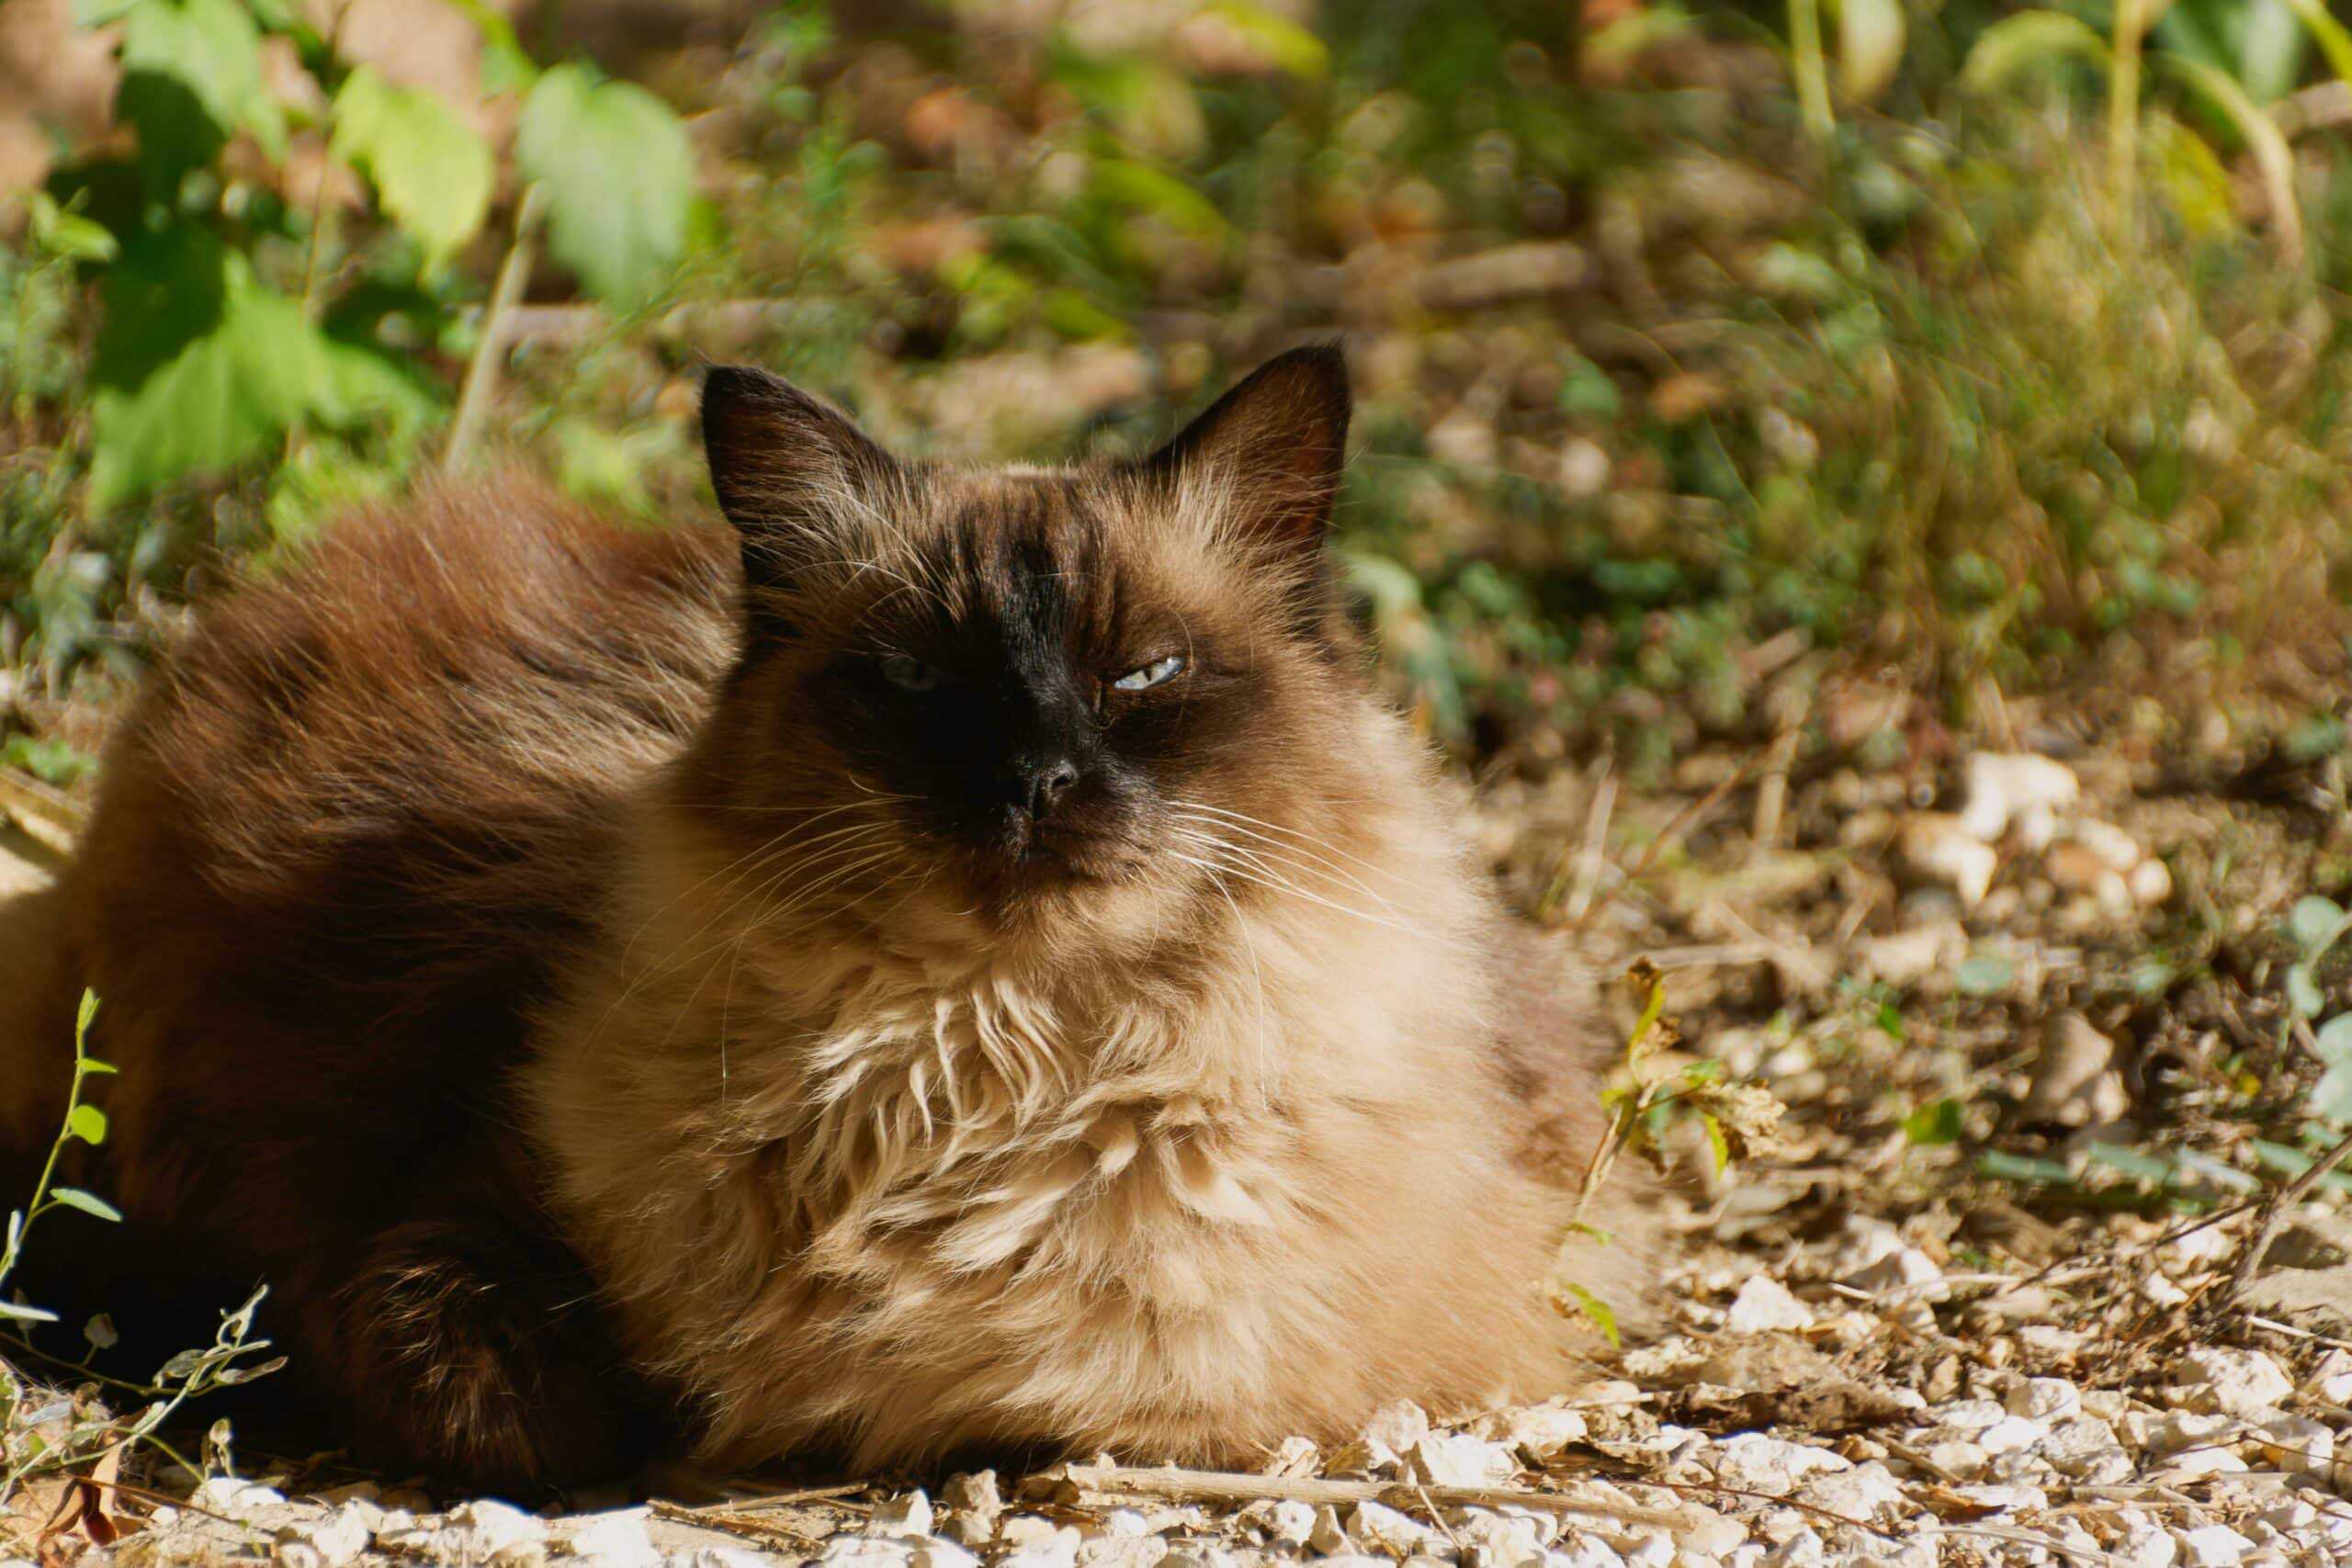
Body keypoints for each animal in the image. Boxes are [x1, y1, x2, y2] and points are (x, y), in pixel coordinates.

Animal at [0, 345, 1665, 1495]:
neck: (989, 1071)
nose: (1037, 778)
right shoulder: (438, 1228)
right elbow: (531, 1402)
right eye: (921, 679)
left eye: (1142, 675)